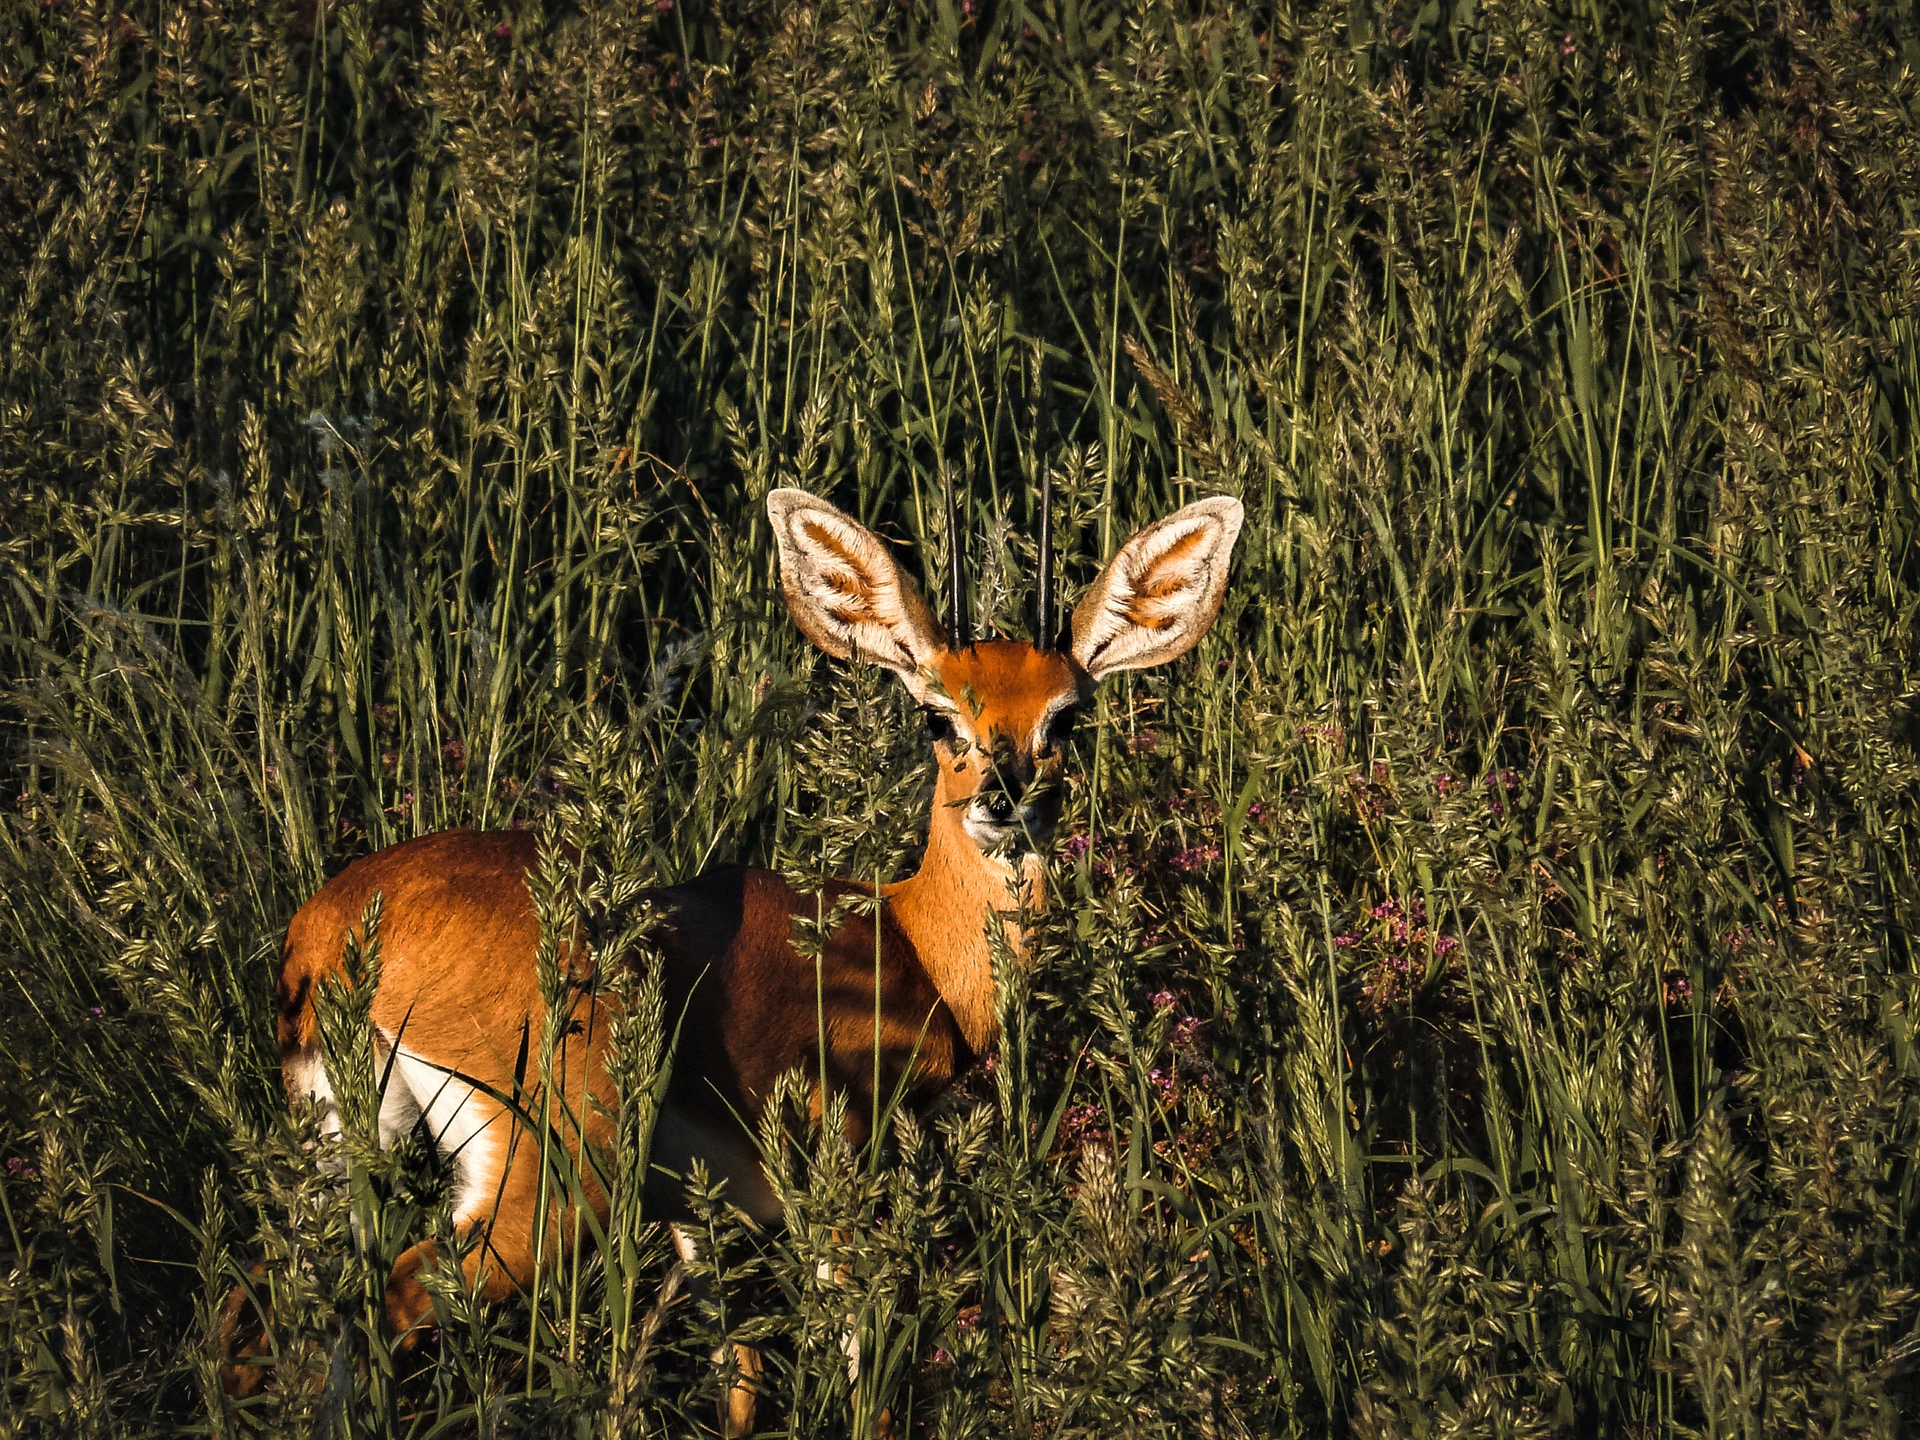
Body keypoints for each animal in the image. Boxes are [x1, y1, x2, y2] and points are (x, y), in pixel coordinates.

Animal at [220, 487, 1244, 1436]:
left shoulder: (705, 1213)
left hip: (342, 1141)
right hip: (558, 1170)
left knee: (270, 1309)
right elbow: (865, 1368)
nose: (1005, 797)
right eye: (937, 715)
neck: (912, 946)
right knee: (392, 1298)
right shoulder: (837, 1172)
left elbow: (738, 1378)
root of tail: (330, 933)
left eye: (1066, 717)